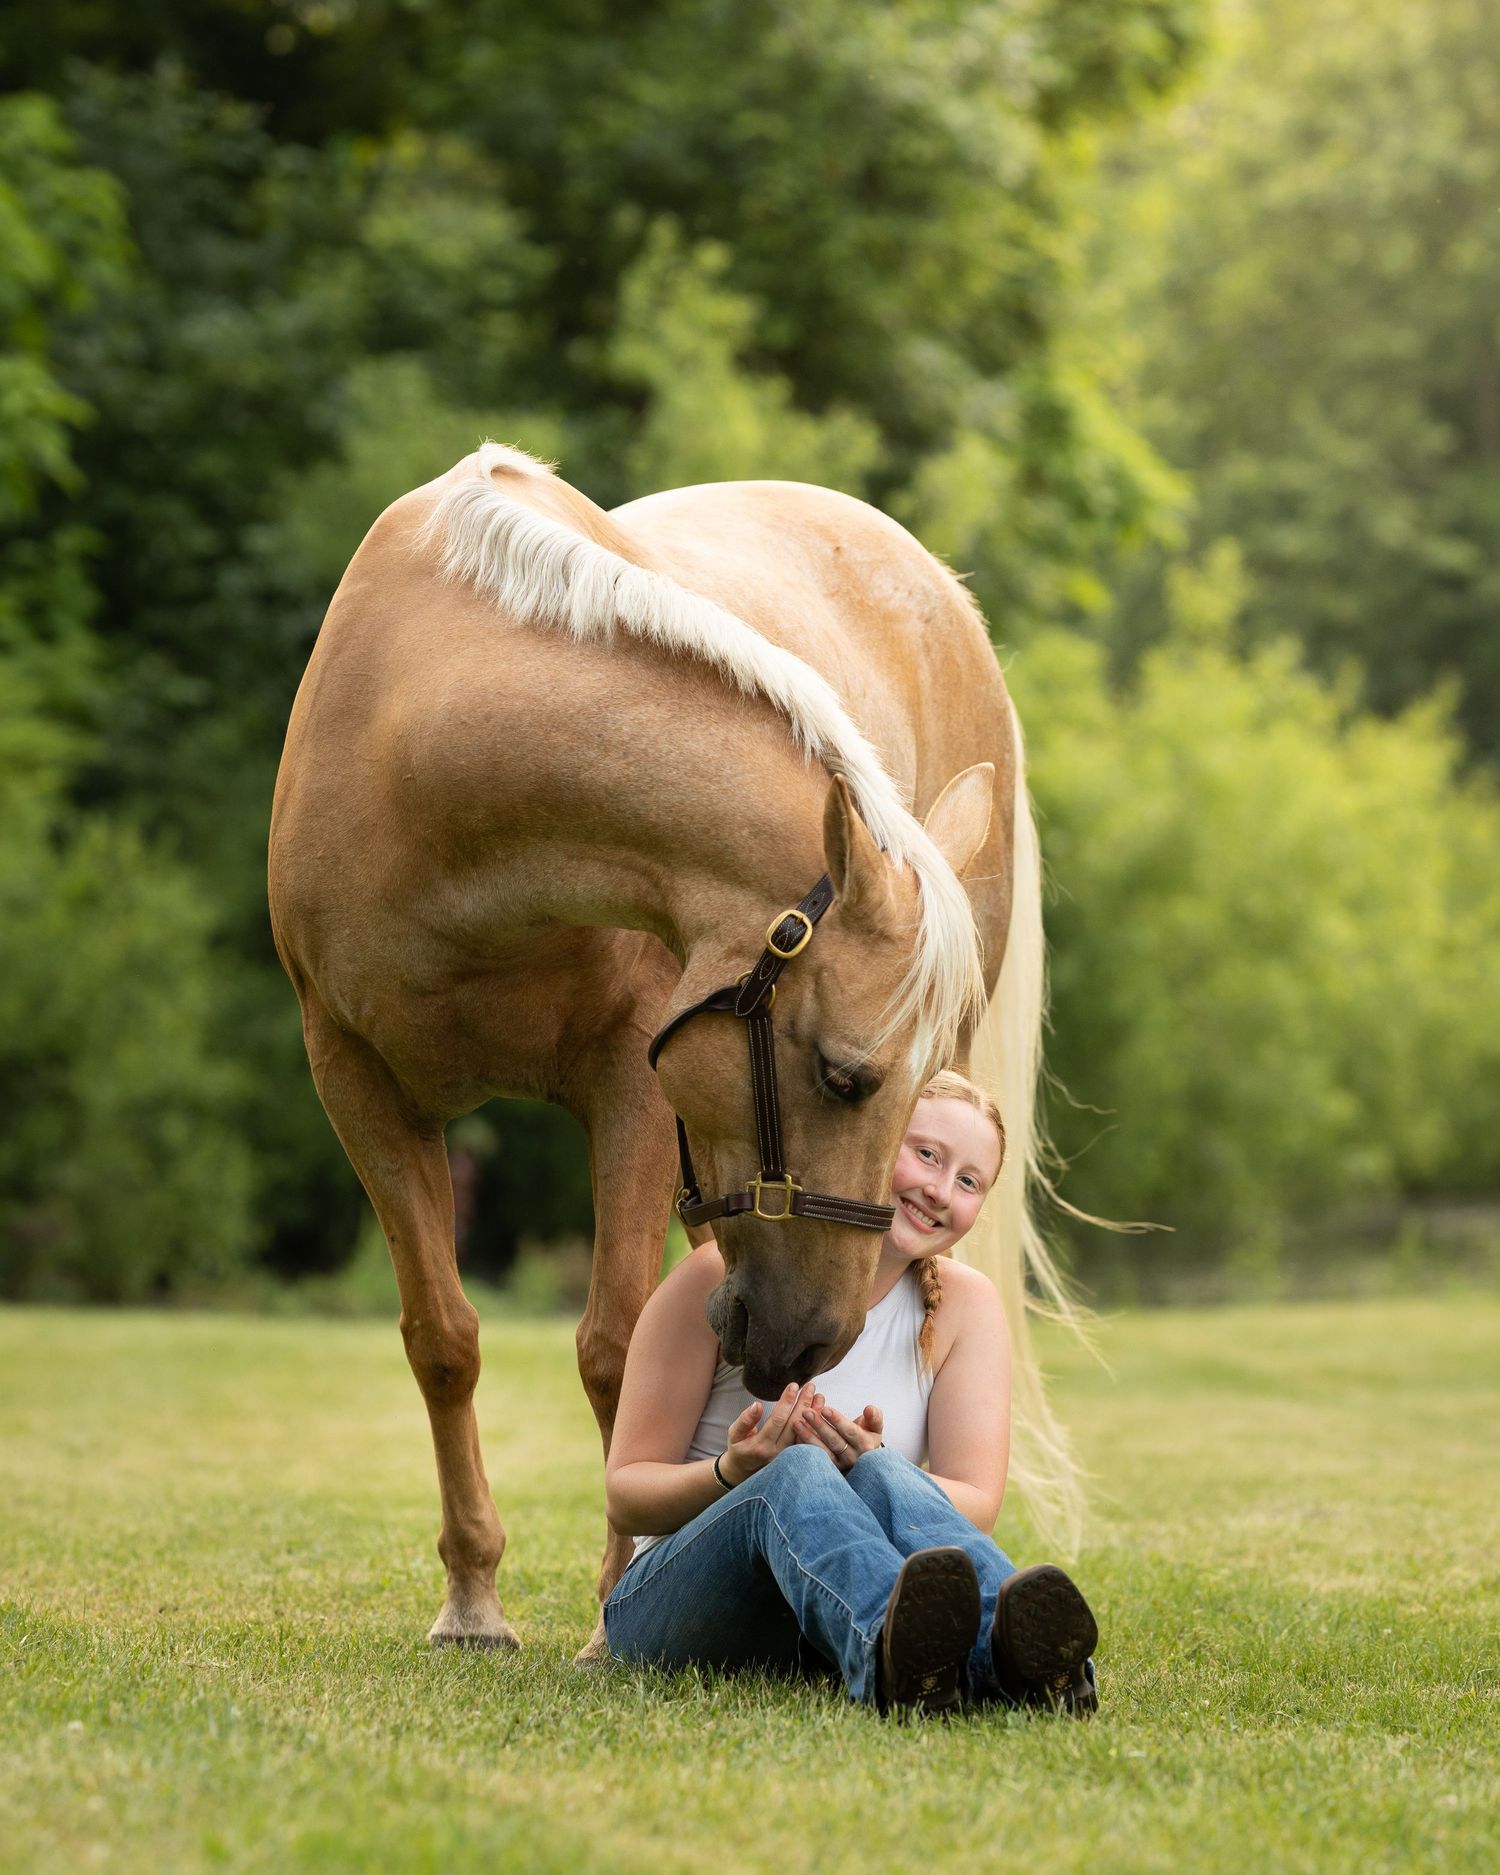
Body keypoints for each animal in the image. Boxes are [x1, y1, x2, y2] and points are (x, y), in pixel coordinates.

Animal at [268, 442, 1065, 1657]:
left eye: (910, 1105)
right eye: (843, 1075)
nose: (821, 1339)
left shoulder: (635, 1090)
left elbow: (613, 1343)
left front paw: (611, 1607)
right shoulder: (355, 1079)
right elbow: (443, 1337)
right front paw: (473, 1601)